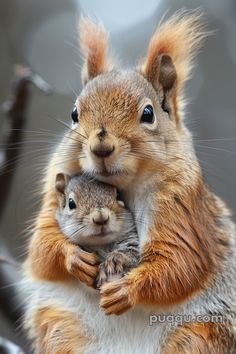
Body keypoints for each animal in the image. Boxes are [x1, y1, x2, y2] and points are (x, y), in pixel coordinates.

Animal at [24, 11, 236, 354]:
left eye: (148, 113)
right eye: (74, 113)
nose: (101, 146)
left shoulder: (183, 206)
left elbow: (180, 263)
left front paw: (127, 290)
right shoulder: (52, 192)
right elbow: (41, 249)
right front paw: (73, 258)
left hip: (197, 333)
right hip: (61, 327)